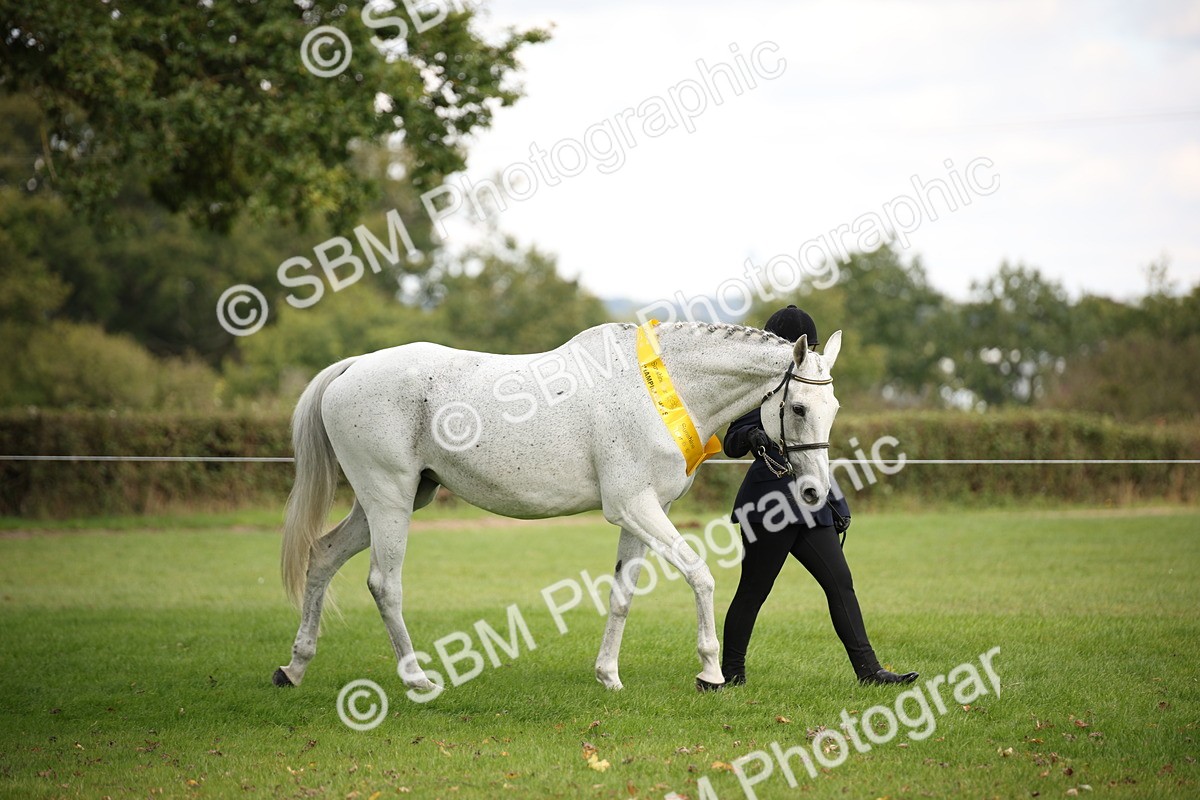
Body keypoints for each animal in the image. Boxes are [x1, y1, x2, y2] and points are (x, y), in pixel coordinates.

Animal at [274, 320, 842, 694]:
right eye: (797, 408)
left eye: (832, 407)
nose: (815, 494)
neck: (657, 389)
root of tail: (353, 369)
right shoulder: (634, 507)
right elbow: (699, 574)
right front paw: (709, 671)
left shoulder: (641, 513)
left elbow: (621, 595)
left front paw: (608, 676)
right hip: (388, 497)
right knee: (383, 584)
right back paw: (417, 678)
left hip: (398, 498)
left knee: (322, 556)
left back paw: (294, 668)